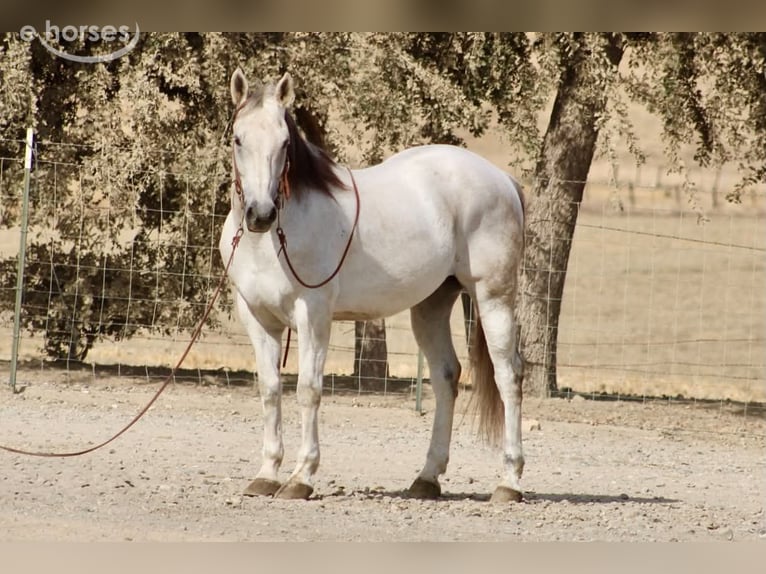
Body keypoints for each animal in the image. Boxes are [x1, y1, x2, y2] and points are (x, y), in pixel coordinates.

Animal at [219, 69, 526, 503]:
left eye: (284, 143)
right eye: (238, 139)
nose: (260, 214)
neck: (274, 239)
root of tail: (502, 179)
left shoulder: (313, 314)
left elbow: (308, 390)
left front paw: (301, 477)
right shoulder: (258, 318)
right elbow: (269, 389)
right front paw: (266, 474)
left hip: (493, 297)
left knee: (508, 376)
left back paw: (509, 482)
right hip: (432, 304)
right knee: (446, 376)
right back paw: (427, 479)